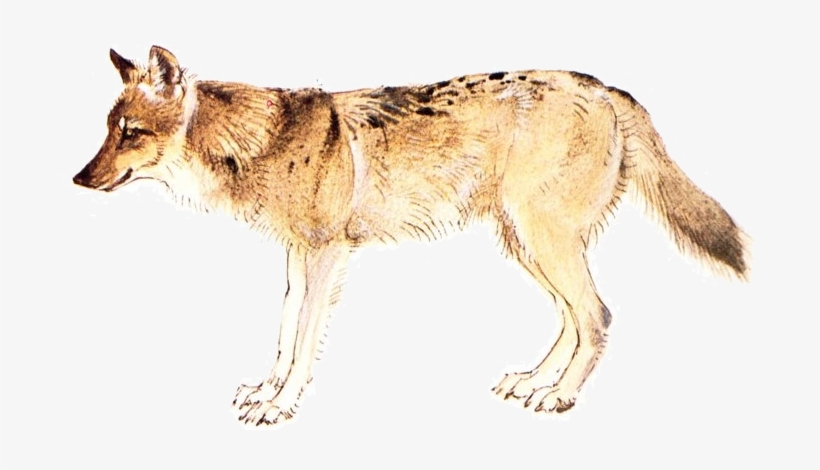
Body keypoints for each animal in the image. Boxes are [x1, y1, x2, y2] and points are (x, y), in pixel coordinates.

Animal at [73, 46, 750, 427]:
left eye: (129, 132)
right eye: (108, 128)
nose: (78, 179)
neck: (259, 142)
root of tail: (608, 89)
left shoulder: (326, 255)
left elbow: (304, 342)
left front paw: (281, 406)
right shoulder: (297, 259)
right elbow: (285, 333)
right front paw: (265, 391)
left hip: (542, 242)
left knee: (598, 316)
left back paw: (558, 399)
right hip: (526, 244)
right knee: (574, 318)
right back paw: (534, 383)